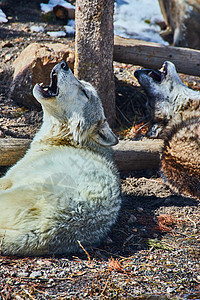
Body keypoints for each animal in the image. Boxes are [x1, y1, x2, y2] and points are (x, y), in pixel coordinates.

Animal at [0, 61, 122, 255]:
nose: (64, 64)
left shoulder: (9, 178)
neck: (66, 140)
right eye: (82, 83)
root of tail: (44, 233)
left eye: (84, 92)